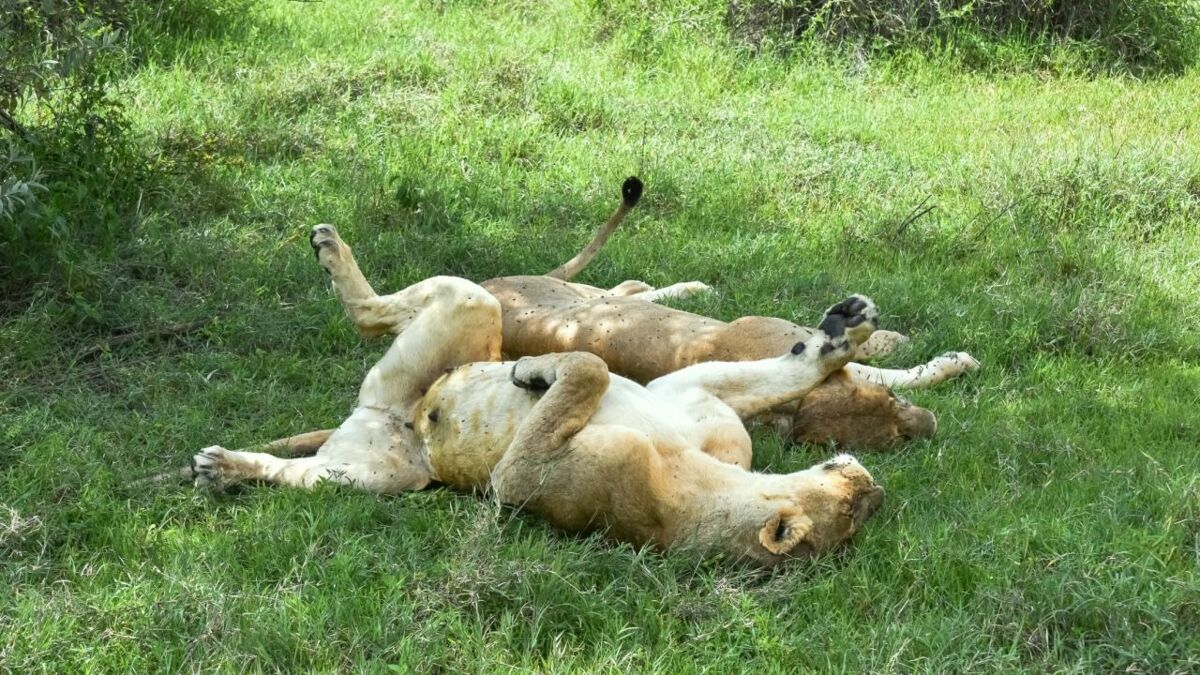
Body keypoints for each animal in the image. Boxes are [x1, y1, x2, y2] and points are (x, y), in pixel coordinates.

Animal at [194, 225, 892, 562]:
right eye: (856, 506)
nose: (874, 486)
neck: (716, 485)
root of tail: (397, 413)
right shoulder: (691, 388)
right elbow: (782, 373)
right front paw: (841, 333)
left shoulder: (522, 477)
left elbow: (590, 369)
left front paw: (538, 372)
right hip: (472, 302)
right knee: (378, 312)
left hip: (371, 474)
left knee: (316, 438)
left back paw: (221, 466)